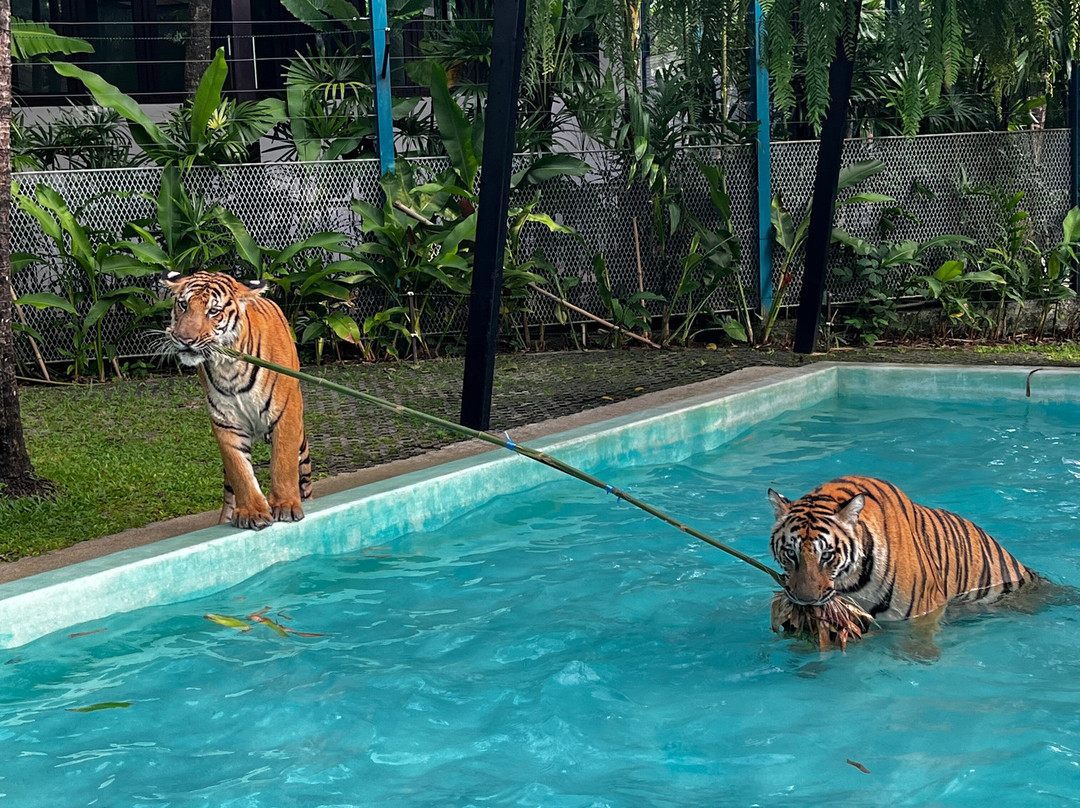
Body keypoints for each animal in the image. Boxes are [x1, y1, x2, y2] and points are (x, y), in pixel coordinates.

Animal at [162, 270, 312, 530]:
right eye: (183, 305)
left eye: (213, 311)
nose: (184, 339)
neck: (228, 366)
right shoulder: (226, 421)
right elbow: (240, 471)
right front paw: (253, 512)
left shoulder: (285, 414)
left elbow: (283, 463)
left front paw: (285, 505)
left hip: (301, 441)